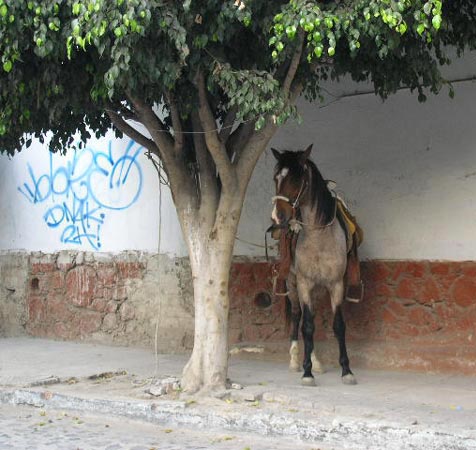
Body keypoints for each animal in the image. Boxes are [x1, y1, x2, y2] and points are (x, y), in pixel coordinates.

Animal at [272, 145, 356, 386]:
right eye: (276, 178)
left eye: (296, 179)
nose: (278, 216)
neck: (319, 236)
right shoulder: (304, 283)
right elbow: (307, 326)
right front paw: (306, 372)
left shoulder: (335, 283)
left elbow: (338, 325)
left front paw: (346, 370)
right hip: (293, 285)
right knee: (297, 317)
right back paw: (295, 361)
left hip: (318, 288)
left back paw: (316, 362)